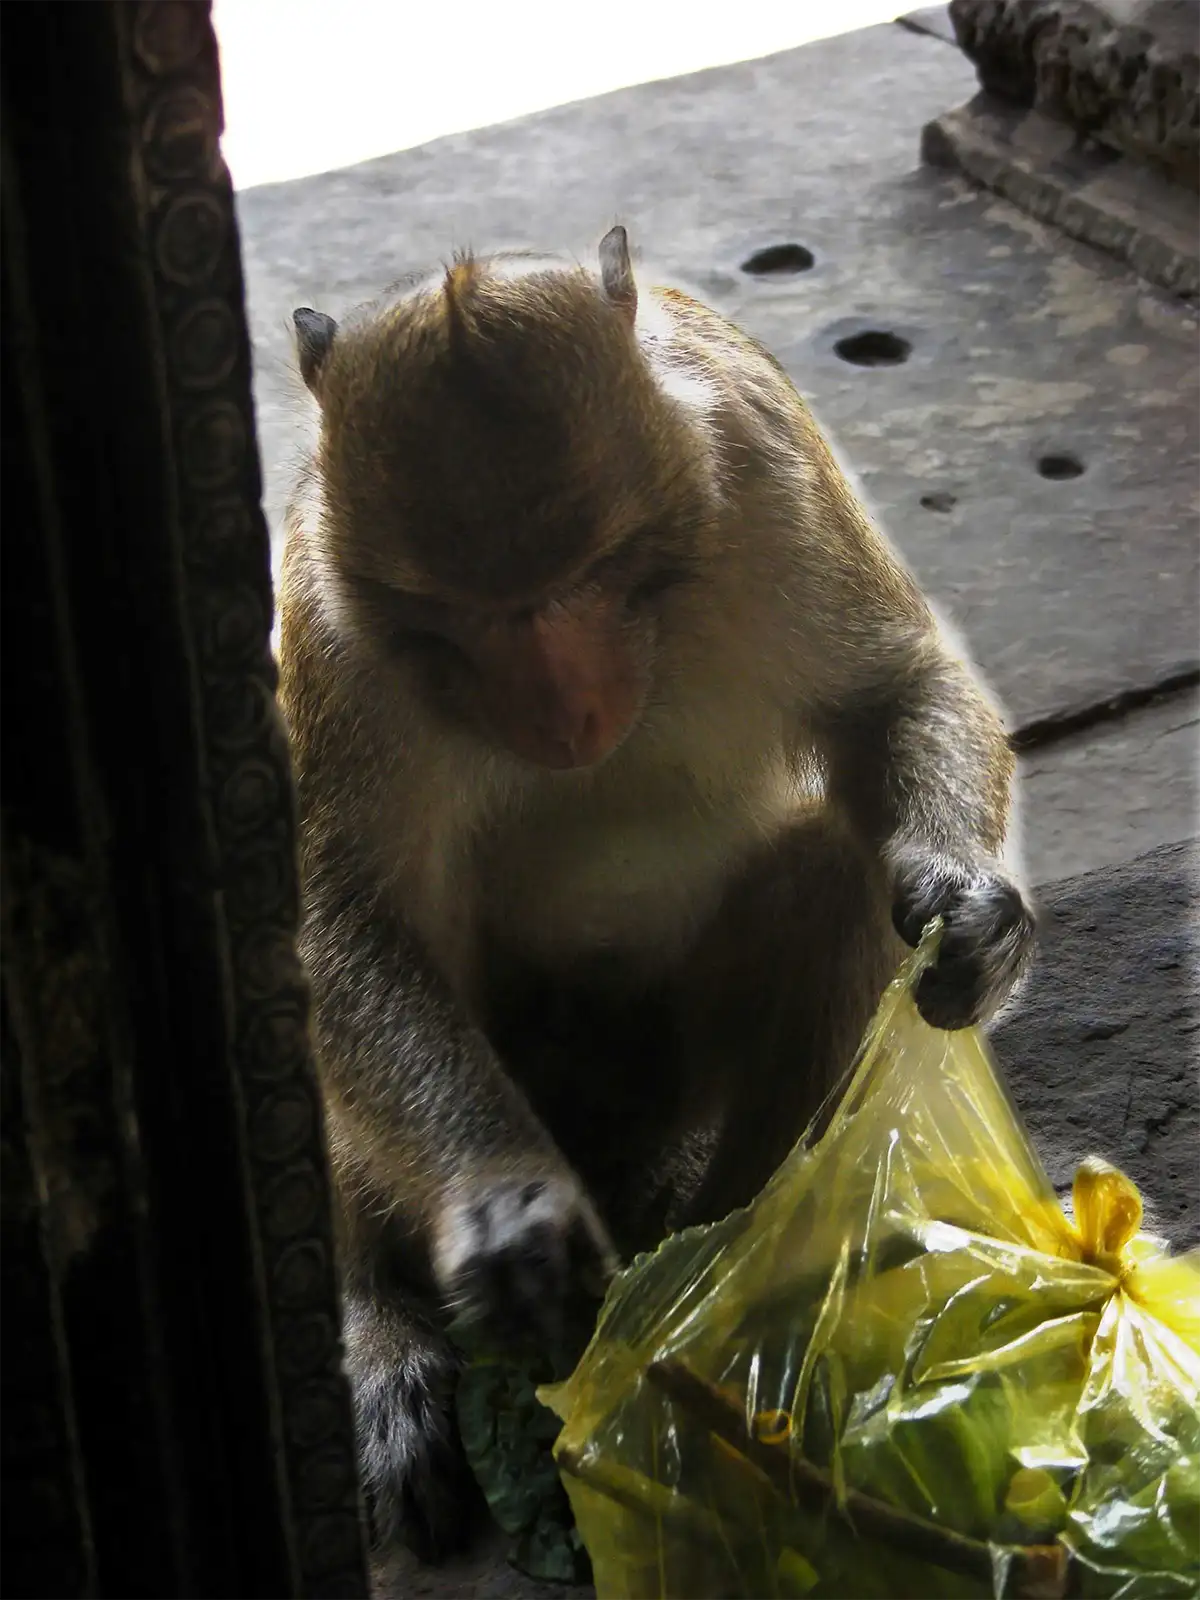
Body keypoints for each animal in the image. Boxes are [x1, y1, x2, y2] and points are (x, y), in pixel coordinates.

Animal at [275, 227, 1035, 1562]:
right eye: (452, 615)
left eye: (596, 569)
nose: (567, 713)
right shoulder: (337, 628)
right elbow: (344, 916)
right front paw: (505, 1203)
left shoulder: (764, 462)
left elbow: (891, 691)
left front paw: (970, 905)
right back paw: (385, 1327)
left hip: (665, 1073)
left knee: (839, 878)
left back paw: (715, 1301)